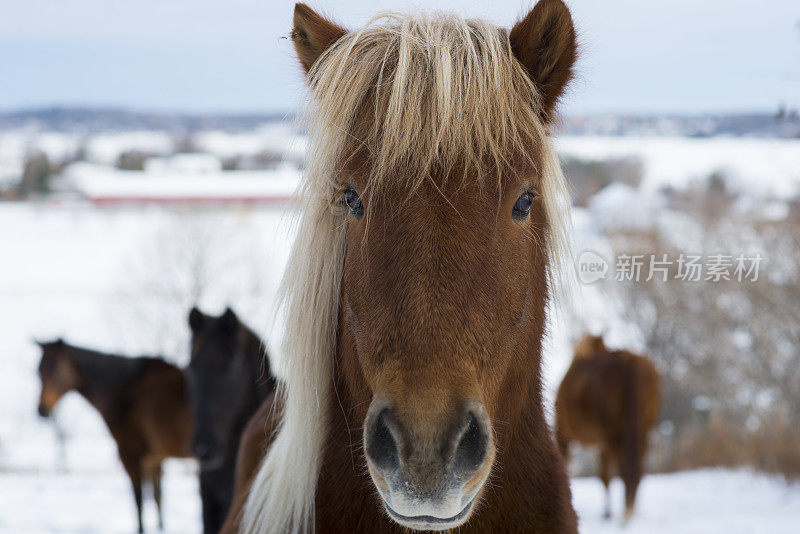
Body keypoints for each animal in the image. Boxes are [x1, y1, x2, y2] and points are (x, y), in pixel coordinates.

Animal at [36, 342, 195, 532]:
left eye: (57, 370)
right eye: (38, 370)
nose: (42, 410)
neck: (124, 390)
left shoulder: (131, 454)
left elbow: (139, 500)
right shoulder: (154, 457)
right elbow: (158, 497)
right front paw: (161, 528)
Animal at [556, 336, 664, 524]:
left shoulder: (564, 433)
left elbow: (603, 475)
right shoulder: (604, 442)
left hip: (615, 433)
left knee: (624, 470)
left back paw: (626, 515)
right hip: (640, 430)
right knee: (636, 469)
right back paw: (631, 511)